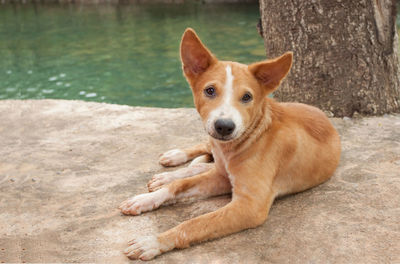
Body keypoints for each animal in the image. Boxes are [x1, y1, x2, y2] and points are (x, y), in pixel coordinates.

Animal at [118, 28, 340, 260]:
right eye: (209, 91)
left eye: (247, 97)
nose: (224, 127)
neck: (241, 143)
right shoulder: (222, 177)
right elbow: (179, 186)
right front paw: (143, 200)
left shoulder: (249, 205)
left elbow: (195, 223)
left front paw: (153, 241)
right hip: (211, 143)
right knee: (202, 151)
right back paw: (174, 158)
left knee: (202, 165)